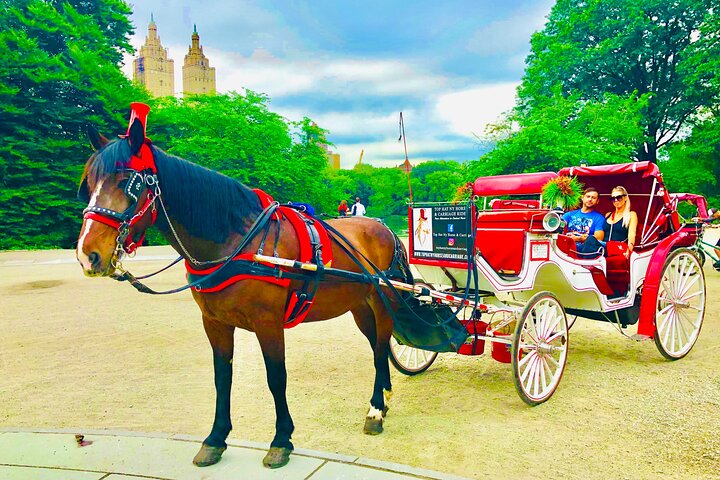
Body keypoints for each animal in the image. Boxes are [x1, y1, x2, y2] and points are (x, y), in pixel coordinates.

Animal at [75, 111, 409, 469]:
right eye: (89, 184)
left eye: (130, 183)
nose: (87, 253)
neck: (237, 241)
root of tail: (384, 228)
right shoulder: (215, 322)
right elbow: (223, 378)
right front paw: (215, 438)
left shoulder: (268, 324)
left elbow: (276, 378)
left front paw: (281, 440)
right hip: (359, 306)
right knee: (377, 346)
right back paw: (384, 396)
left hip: (383, 302)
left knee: (380, 348)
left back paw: (375, 409)